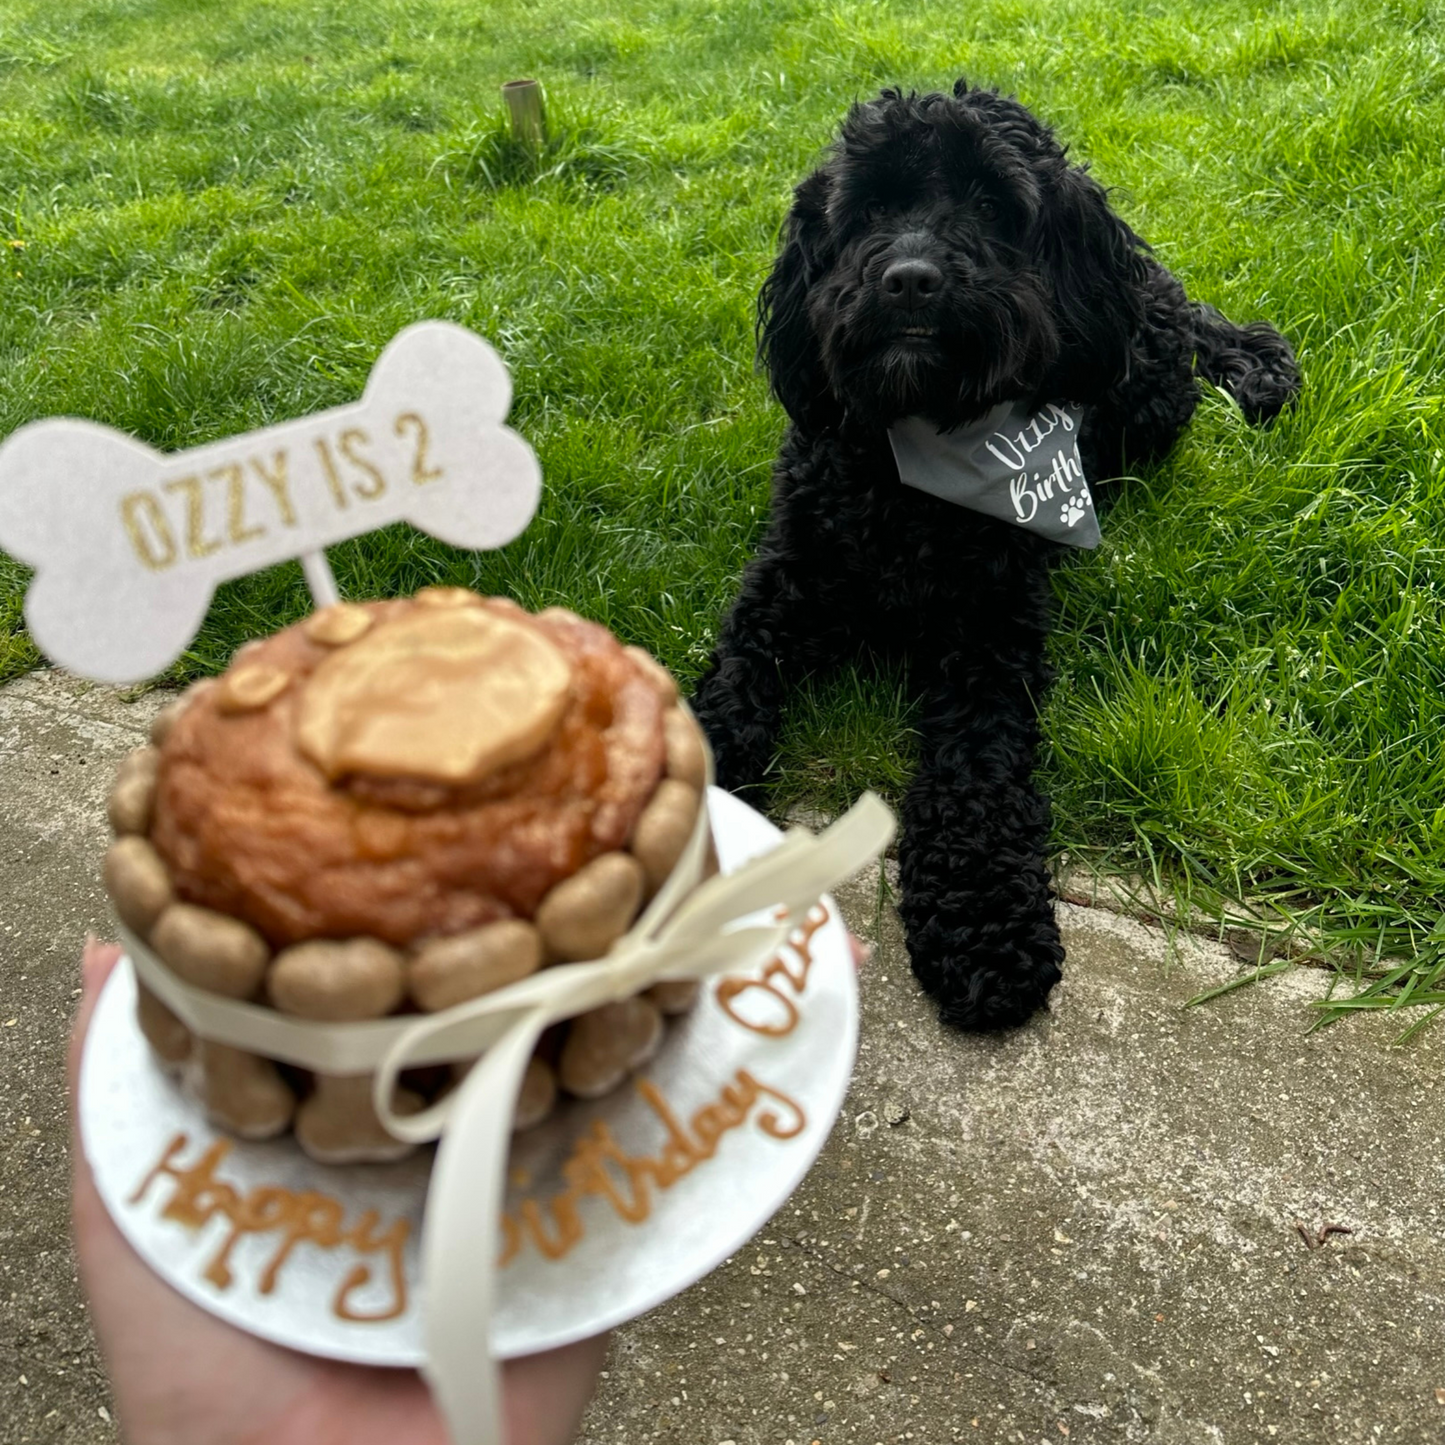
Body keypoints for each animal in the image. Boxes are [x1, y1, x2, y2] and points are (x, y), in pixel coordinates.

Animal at [687, 82, 1300, 1028]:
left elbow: (977, 773)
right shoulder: (782, 589)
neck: (908, 475)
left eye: (988, 203)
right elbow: (728, 695)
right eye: (870, 206)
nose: (909, 279)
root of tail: (1148, 281)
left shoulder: (988, 631)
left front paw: (982, 922)